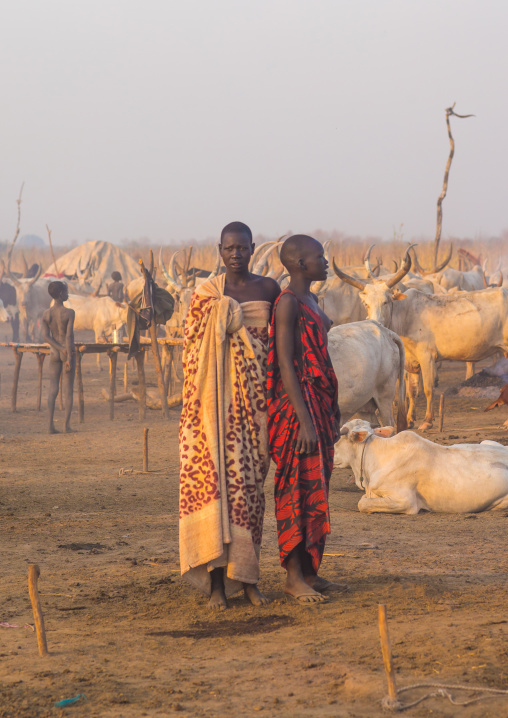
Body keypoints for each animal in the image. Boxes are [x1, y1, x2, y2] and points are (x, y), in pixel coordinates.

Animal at [333, 249, 508, 430]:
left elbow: (428, 389)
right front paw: (410, 419)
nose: (376, 322)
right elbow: (412, 391)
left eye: (386, 301)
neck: (406, 314)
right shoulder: (412, 362)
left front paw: (427, 421)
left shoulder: (427, 357)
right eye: (366, 303)